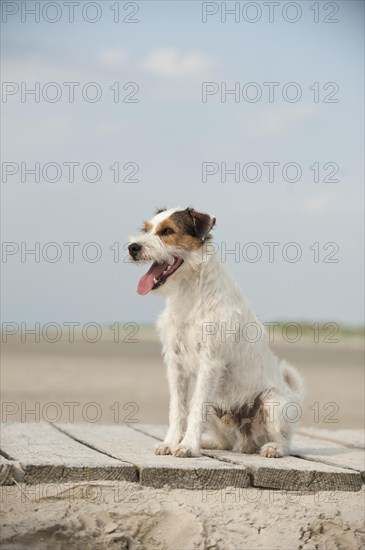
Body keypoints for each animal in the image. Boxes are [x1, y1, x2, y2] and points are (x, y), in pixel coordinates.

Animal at [126, 206, 302, 458]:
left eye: (167, 231)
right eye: (146, 229)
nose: (132, 248)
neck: (188, 292)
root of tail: (245, 441)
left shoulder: (210, 362)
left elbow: (196, 410)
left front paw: (188, 446)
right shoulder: (175, 364)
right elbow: (177, 409)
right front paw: (171, 443)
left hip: (273, 403)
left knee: (286, 441)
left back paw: (273, 448)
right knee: (224, 441)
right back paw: (209, 442)